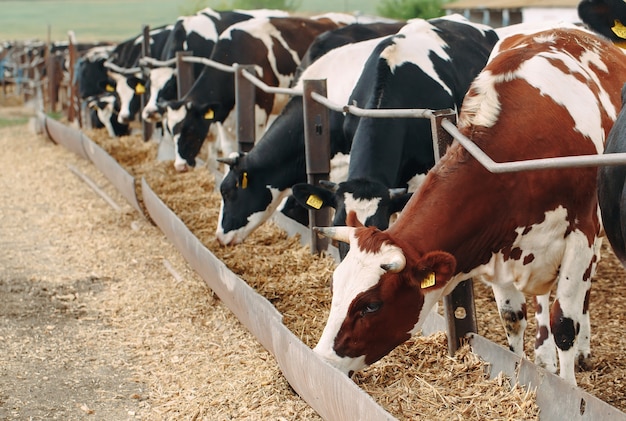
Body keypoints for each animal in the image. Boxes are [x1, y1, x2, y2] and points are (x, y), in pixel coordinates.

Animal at [161, 15, 346, 171]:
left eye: (190, 129)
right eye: (170, 130)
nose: (180, 166)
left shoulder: (259, 113)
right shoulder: (222, 118)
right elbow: (227, 149)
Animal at [314, 27, 624, 386]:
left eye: (371, 305)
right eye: (335, 286)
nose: (321, 361)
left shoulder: (580, 236)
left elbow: (565, 325)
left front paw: (568, 387)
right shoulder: (501, 246)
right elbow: (512, 318)